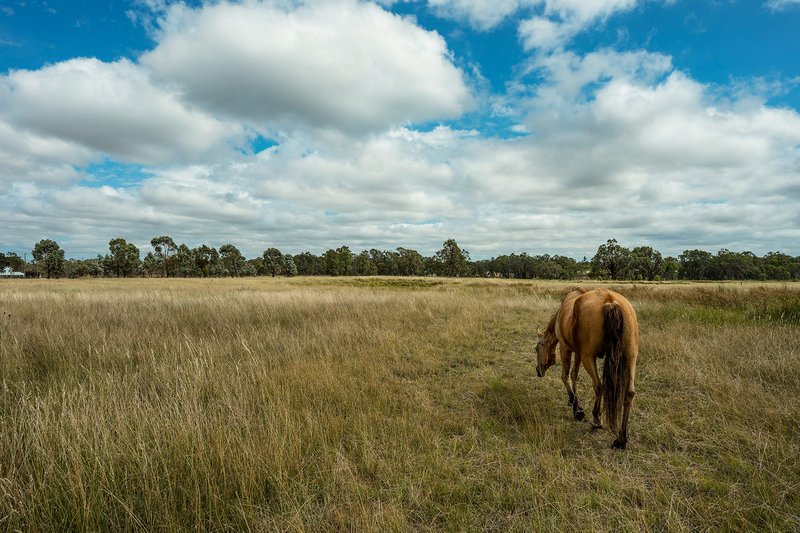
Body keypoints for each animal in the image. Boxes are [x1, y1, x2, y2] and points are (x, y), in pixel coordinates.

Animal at [536, 288, 640, 446]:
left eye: (536, 349)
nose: (538, 371)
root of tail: (610, 301)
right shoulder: (578, 353)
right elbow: (575, 375)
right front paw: (573, 401)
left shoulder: (566, 349)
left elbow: (566, 376)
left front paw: (576, 408)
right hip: (630, 356)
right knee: (629, 392)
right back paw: (621, 439)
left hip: (589, 357)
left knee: (599, 385)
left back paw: (597, 419)